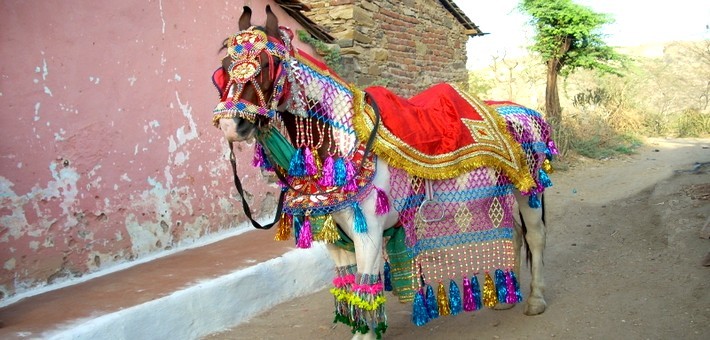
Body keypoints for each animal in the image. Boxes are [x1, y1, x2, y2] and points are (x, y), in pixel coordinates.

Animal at [214, 5, 560, 340]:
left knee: (536, 236)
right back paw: (506, 300)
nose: (232, 125)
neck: (345, 145)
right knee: (515, 234)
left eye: (267, 64)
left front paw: (366, 334)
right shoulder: (335, 238)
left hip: (529, 191)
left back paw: (535, 300)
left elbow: (366, 287)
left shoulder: (368, 233)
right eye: (224, 67)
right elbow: (351, 287)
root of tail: (525, 111)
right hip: (501, 192)